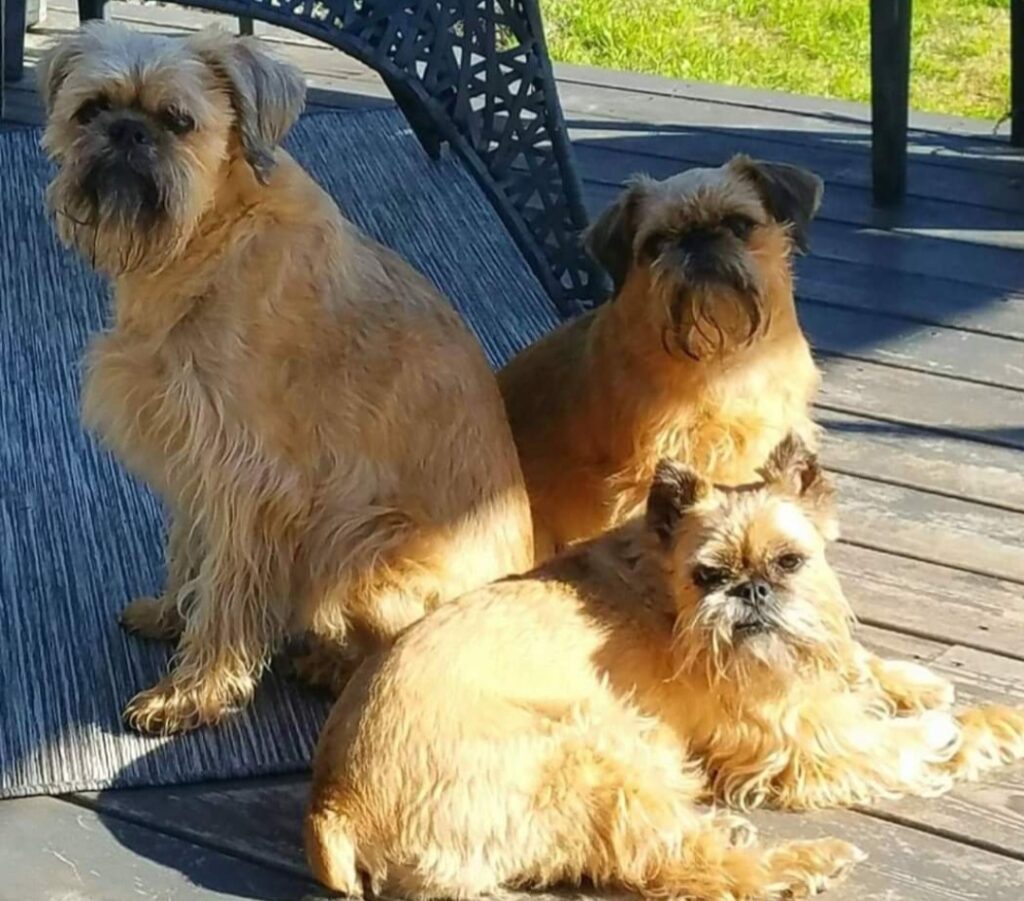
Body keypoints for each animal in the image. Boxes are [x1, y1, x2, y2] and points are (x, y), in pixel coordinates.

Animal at [37, 24, 536, 737]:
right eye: (91, 110)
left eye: (178, 121)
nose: (126, 132)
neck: (207, 236)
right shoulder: (200, 460)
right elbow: (191, 551)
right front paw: (171, 612)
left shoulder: (252, 481)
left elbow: (228, 593)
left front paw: (192, 693)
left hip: (363, 547)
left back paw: (334, 667)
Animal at [303, 432, 1024, 896]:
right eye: (708, 575)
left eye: (790, 562)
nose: (751, 591)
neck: (665, 588)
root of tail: (334, 805)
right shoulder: (804, 738)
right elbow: (897, 741)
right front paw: (982, 725)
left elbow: (851, 659)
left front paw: (911, 681)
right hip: (596, 748)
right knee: (697, 871)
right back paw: (803, 861)